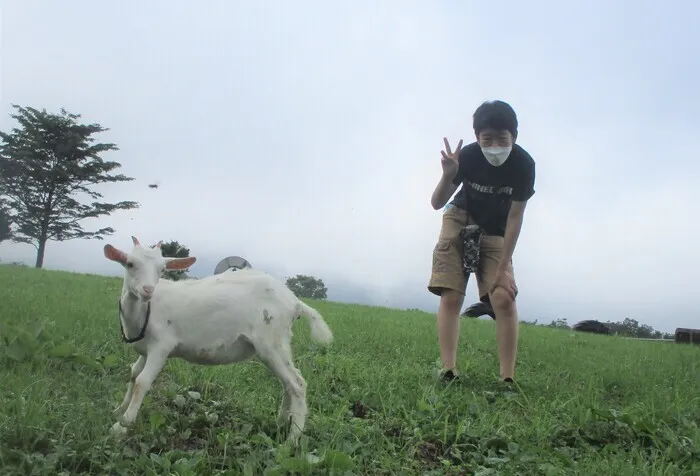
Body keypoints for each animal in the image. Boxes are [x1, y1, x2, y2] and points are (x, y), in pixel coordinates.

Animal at [103, 236, 334, 444]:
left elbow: (143, 381)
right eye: (130, 264)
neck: (143, 311)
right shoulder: (145, 350)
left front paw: (122, 426)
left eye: (162, 269)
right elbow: (133, 374)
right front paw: (118, 410)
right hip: (277, 344)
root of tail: (295, 302)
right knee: (287, 383)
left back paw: (292, 439)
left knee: (297, 384)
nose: (148, 290)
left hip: (272, 341)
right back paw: (281, 423)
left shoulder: (161, 346)